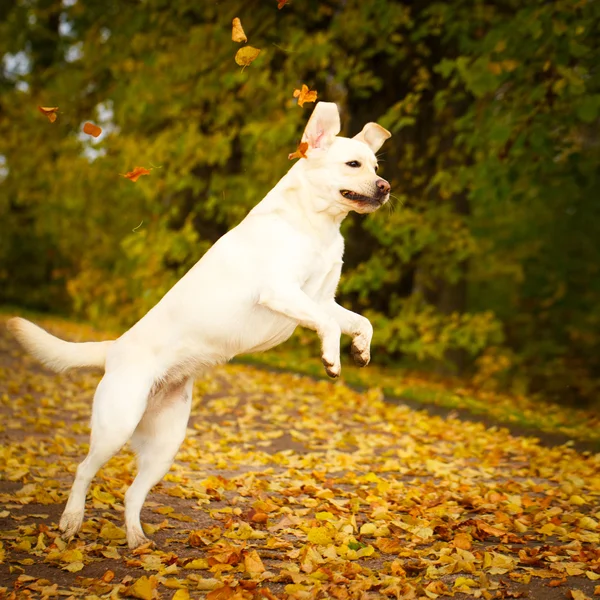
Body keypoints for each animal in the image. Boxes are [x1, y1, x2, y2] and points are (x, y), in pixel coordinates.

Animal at [7, 103, 392, 548]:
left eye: (376, 165)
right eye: (353, 164)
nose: (386, 187)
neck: (316, 225)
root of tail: (115, 347)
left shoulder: (322, 299)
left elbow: (361, 321)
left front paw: (361, 350)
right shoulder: (282, 292)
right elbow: (328, 326)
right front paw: (332, 359)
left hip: (165, 446)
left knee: (131, 494)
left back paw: (138, 542)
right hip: (115, 426)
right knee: (84, 470)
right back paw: (71, 521)